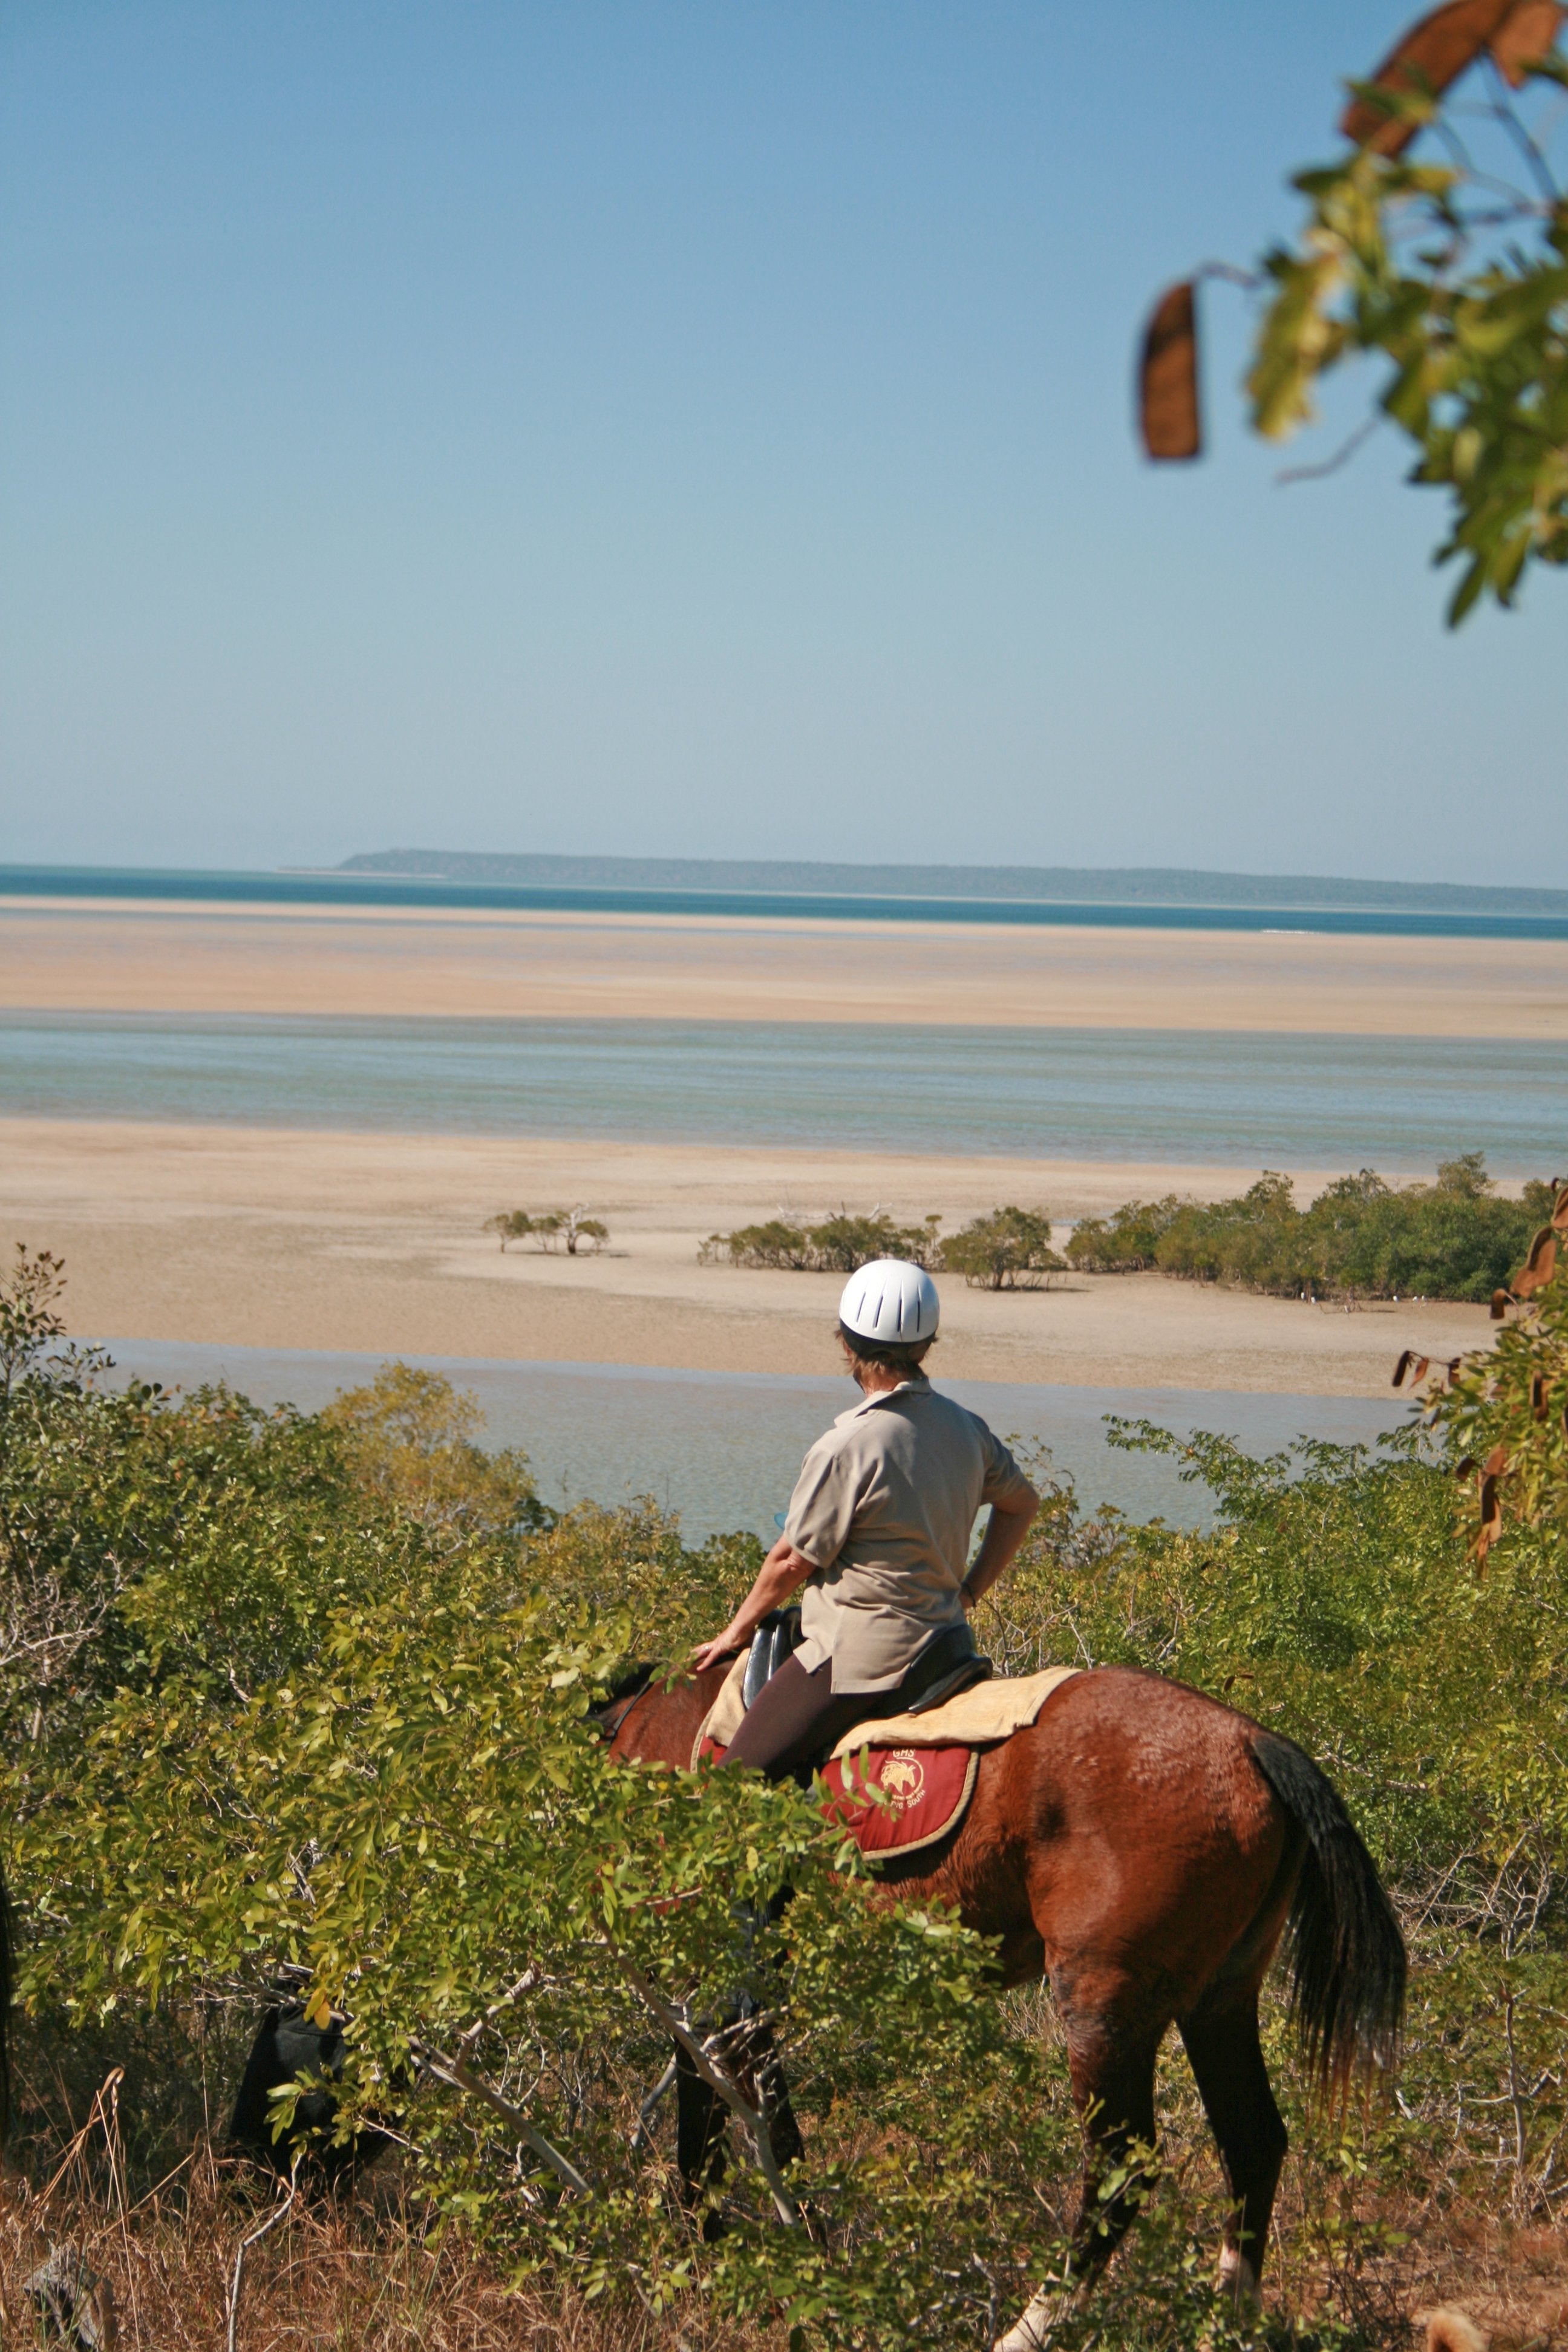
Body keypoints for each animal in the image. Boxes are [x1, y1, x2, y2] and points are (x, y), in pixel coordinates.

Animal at [606, 1656, 1410, 2352]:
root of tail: (1250, 1744)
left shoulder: (711, 1982)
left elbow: (748, 2115)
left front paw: (785, 2262)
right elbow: (715, 2105)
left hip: (1103, 2005)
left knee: (1123, 2167)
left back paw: (1029, 2329)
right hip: (1219, 2001)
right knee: (1253, 2142)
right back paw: (1227, 2323)